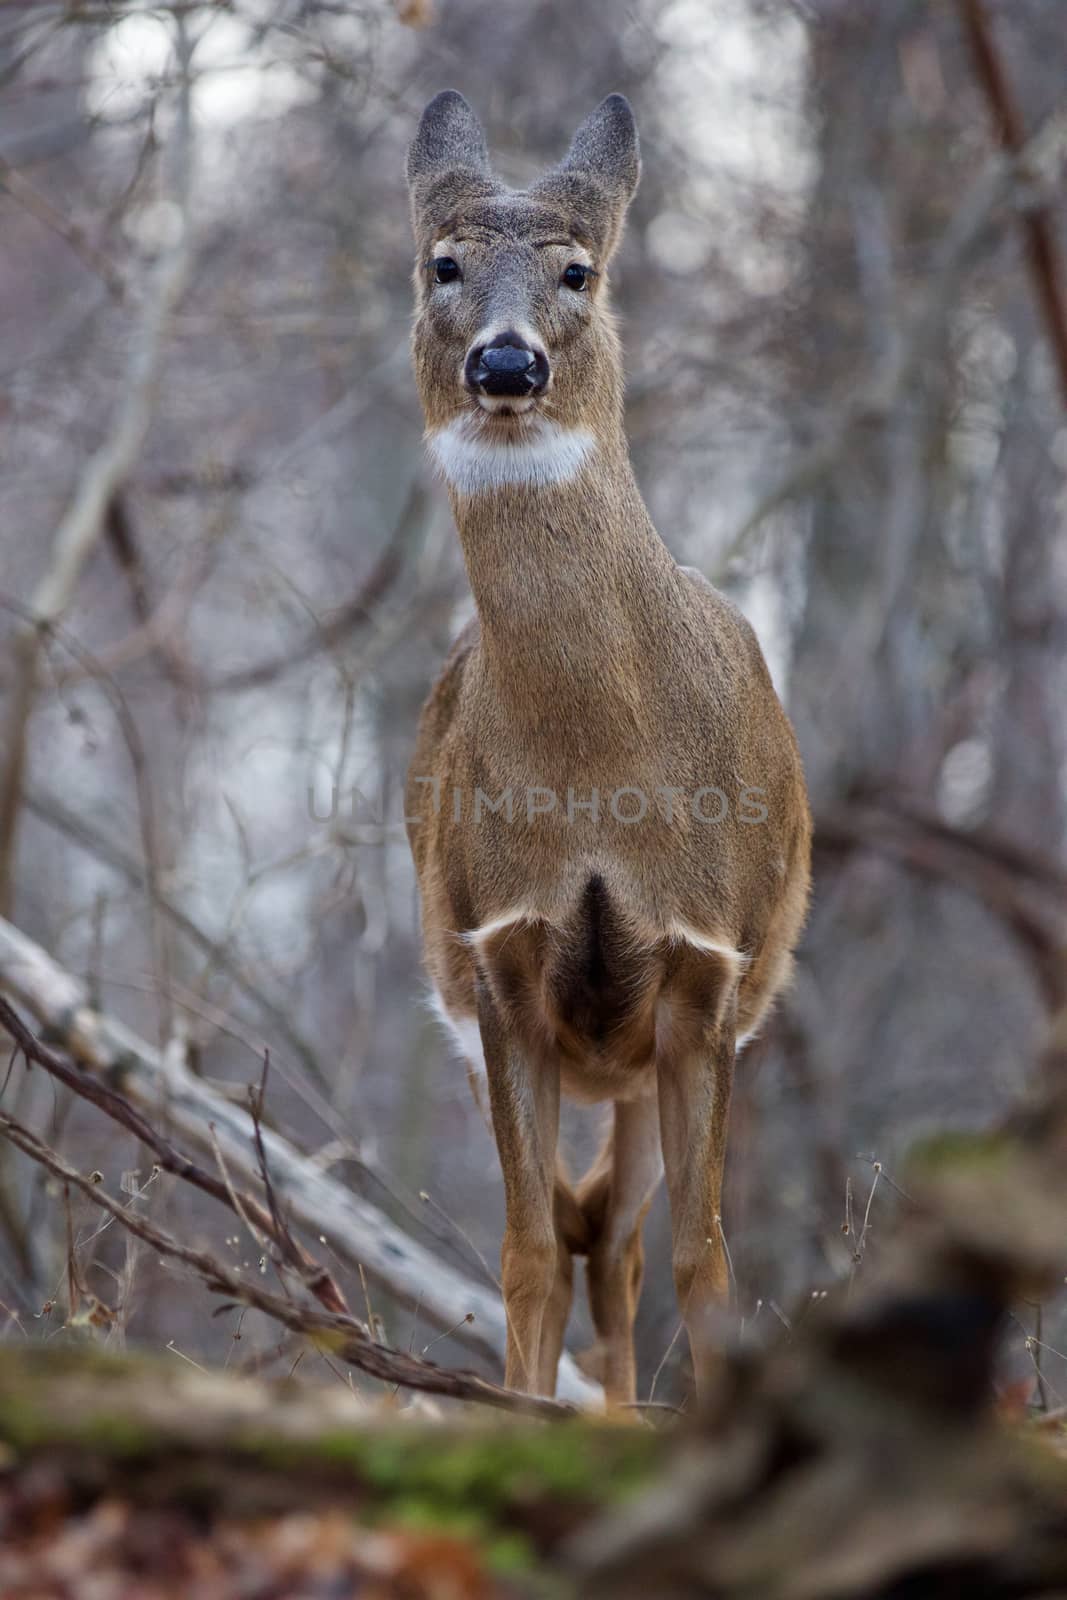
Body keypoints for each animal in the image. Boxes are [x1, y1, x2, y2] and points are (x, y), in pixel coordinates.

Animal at [399, 90, 809, 1401]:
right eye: (443, 264)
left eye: (578, 269)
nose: (506, 361)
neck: (598, 784)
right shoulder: (496, 961)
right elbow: (524, 1253)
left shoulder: (708, 971)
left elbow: (705, 1261)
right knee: (583, 1236)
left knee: (622, 1246)